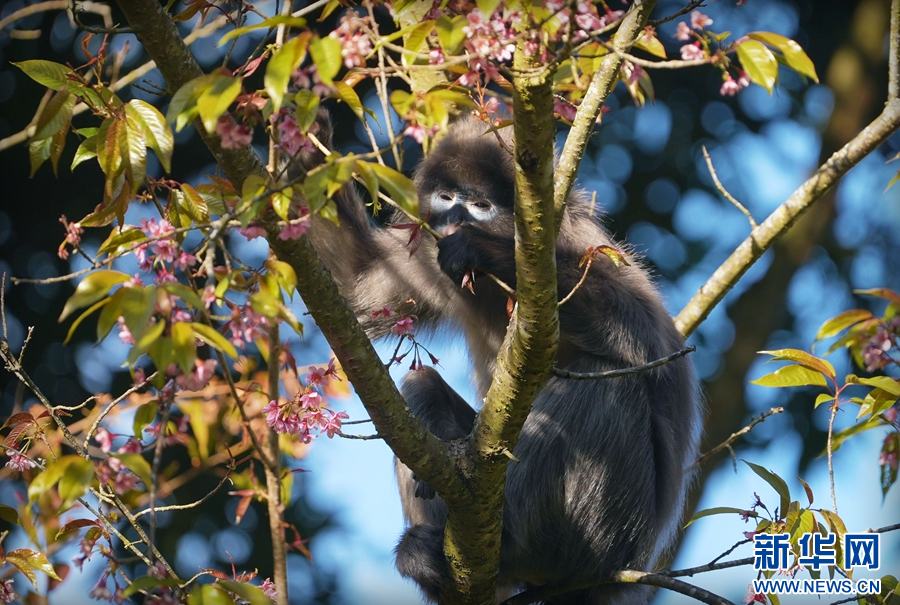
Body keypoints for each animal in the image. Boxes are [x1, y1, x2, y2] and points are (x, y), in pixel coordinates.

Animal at [302, 114, 704, 604]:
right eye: (447, 198)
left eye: (479, 205)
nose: (454, 218)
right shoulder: (425, 257)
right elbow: (354, 288)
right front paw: (302, 138)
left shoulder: (580, 246)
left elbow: (649, 339)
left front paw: (485, 251)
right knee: (421, 385)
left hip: (608, 534)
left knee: (609, 379)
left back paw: (509, 535)